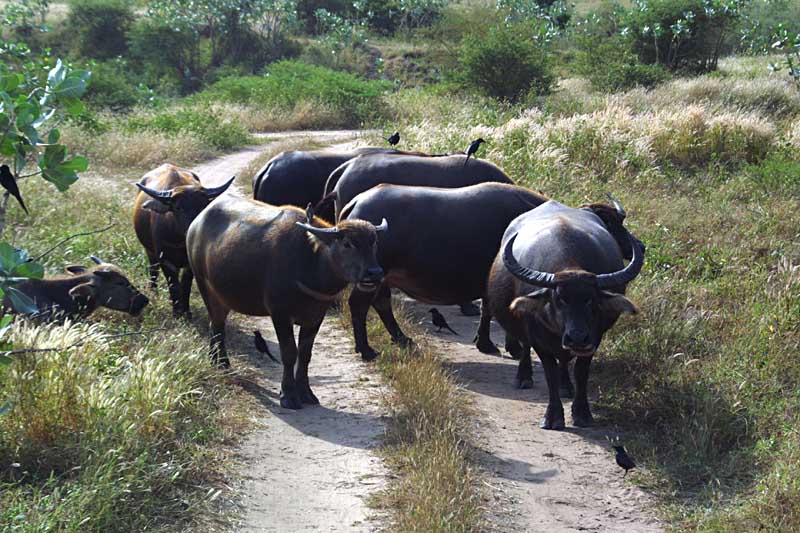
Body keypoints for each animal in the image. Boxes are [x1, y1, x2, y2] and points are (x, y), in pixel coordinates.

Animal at [134, 163, 234, 316]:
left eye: (203, 206)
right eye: (178, 207)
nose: (194, 228)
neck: (180, 242)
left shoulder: (190, 263)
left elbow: (185, 284)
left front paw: (186, 311)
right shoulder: (165, 260)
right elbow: (173, 285)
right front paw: (176, 311)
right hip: (149, 250)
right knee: (153, 269)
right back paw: (153, 292)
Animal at [188, 195, 388, 408]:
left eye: (374, 242)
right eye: (347, 244)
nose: (375, 273)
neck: (310, 262)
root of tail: (196, 223)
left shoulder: (316, 316)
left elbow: (305, 354)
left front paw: (306, 393)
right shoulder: (280, 314)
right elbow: (289, 353)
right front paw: (288, 395)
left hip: (223, 297)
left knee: (216, 324)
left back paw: (218, 361)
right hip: (204, 285)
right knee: (217, 324)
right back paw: (222, 363)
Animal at [338, 183, 552, 362]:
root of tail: (356, 202)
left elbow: (489, 311)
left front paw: (487, 343)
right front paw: (503, 347)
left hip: (382, 278)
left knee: (382, 304)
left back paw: (403, 339)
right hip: (370, 278)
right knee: (359, 305)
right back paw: (366, 350)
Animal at [484, 198, 648, 428]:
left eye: (591, 300)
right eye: (559, 299)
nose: (576, 337)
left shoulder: (594, 338)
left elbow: (581, 372)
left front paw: (582, 413)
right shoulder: (539, 338)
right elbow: (549, 373)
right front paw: (553, 417)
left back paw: (565, 385)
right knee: (527, 347)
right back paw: (524, 377)